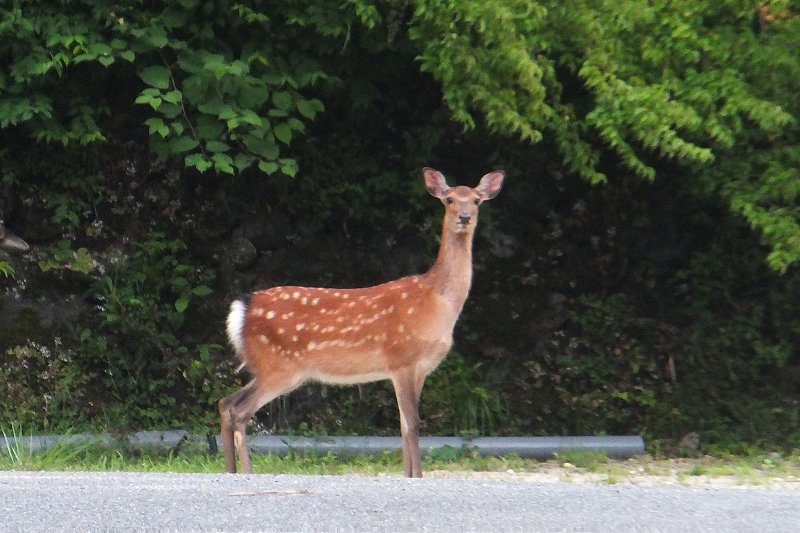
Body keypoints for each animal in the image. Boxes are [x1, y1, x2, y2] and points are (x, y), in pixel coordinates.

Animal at [222, 165, 504, 474]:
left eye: (476, 200)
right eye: (450, 199)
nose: (464, 217)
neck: (439, 303)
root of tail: (242, 307)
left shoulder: (419, 368)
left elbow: (403, 426)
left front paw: (408, 476)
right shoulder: (402, 358)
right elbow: (414, 424)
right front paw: (417, 476)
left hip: (269, 368)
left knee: (226, 403)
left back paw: (231, 471)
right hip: (279, 367)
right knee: (240, 410)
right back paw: (246, 472)